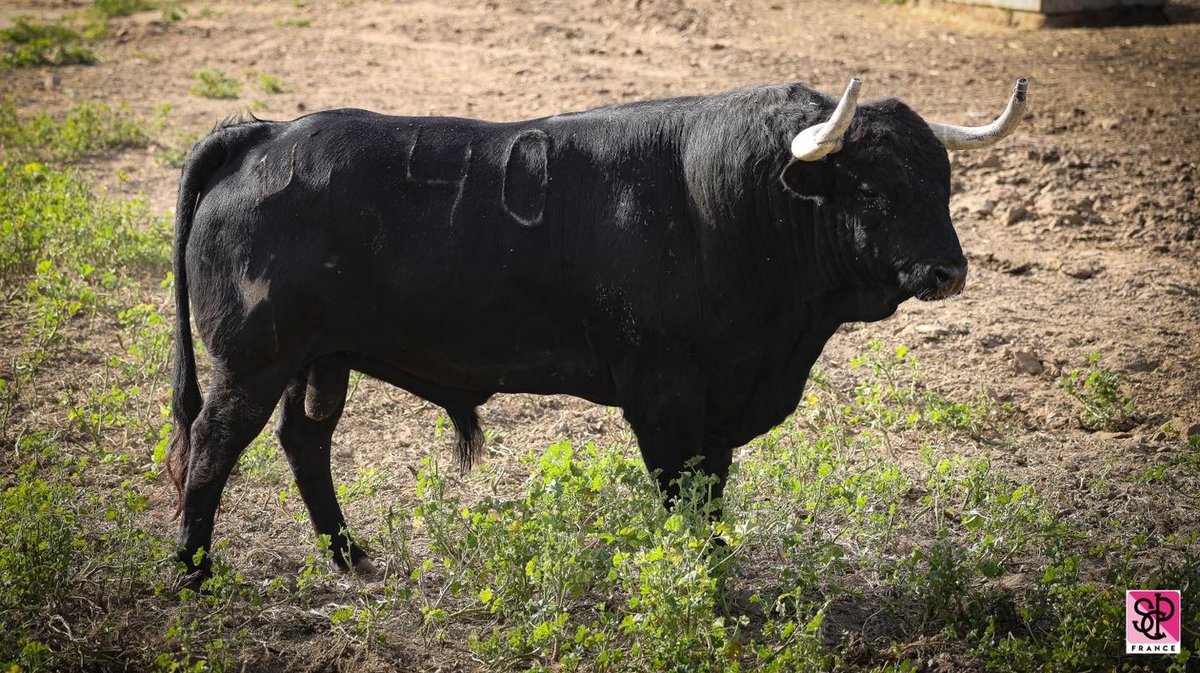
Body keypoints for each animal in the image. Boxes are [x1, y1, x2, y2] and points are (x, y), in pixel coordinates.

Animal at [171, 79, 984, 571]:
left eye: (943, 183)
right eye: (873, 189)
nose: (948, 271)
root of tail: (264, 135)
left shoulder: (721, 397)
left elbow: (711, 491)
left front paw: (718, 569)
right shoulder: (662, 390)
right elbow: (679, 494)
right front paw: (698, 580)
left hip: (319, 357)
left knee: (304, 443)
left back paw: (349, 556)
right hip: (251, 362)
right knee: (210, 450)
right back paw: (193, 573)